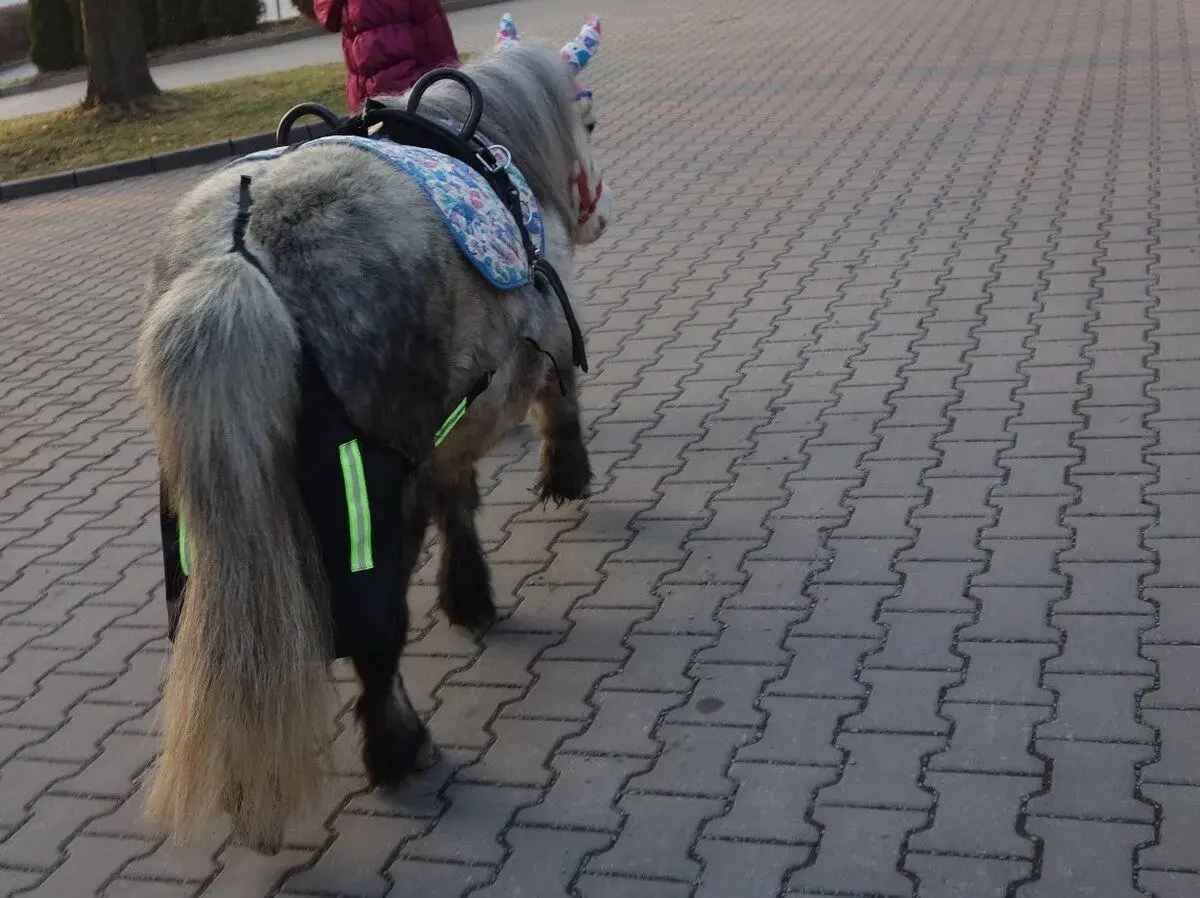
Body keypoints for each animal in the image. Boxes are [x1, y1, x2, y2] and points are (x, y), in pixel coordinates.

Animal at [133, 14, 610, 854]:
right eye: (588, 122)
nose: (598, 215)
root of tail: (238, 250)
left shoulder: (449, 425)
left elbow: (459, 497)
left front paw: (468, 595)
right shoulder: (529, 354)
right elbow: (550, 411)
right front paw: (562, 479)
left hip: (207, 522)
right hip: (365, 494)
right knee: (375, 635)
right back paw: (398, 749)